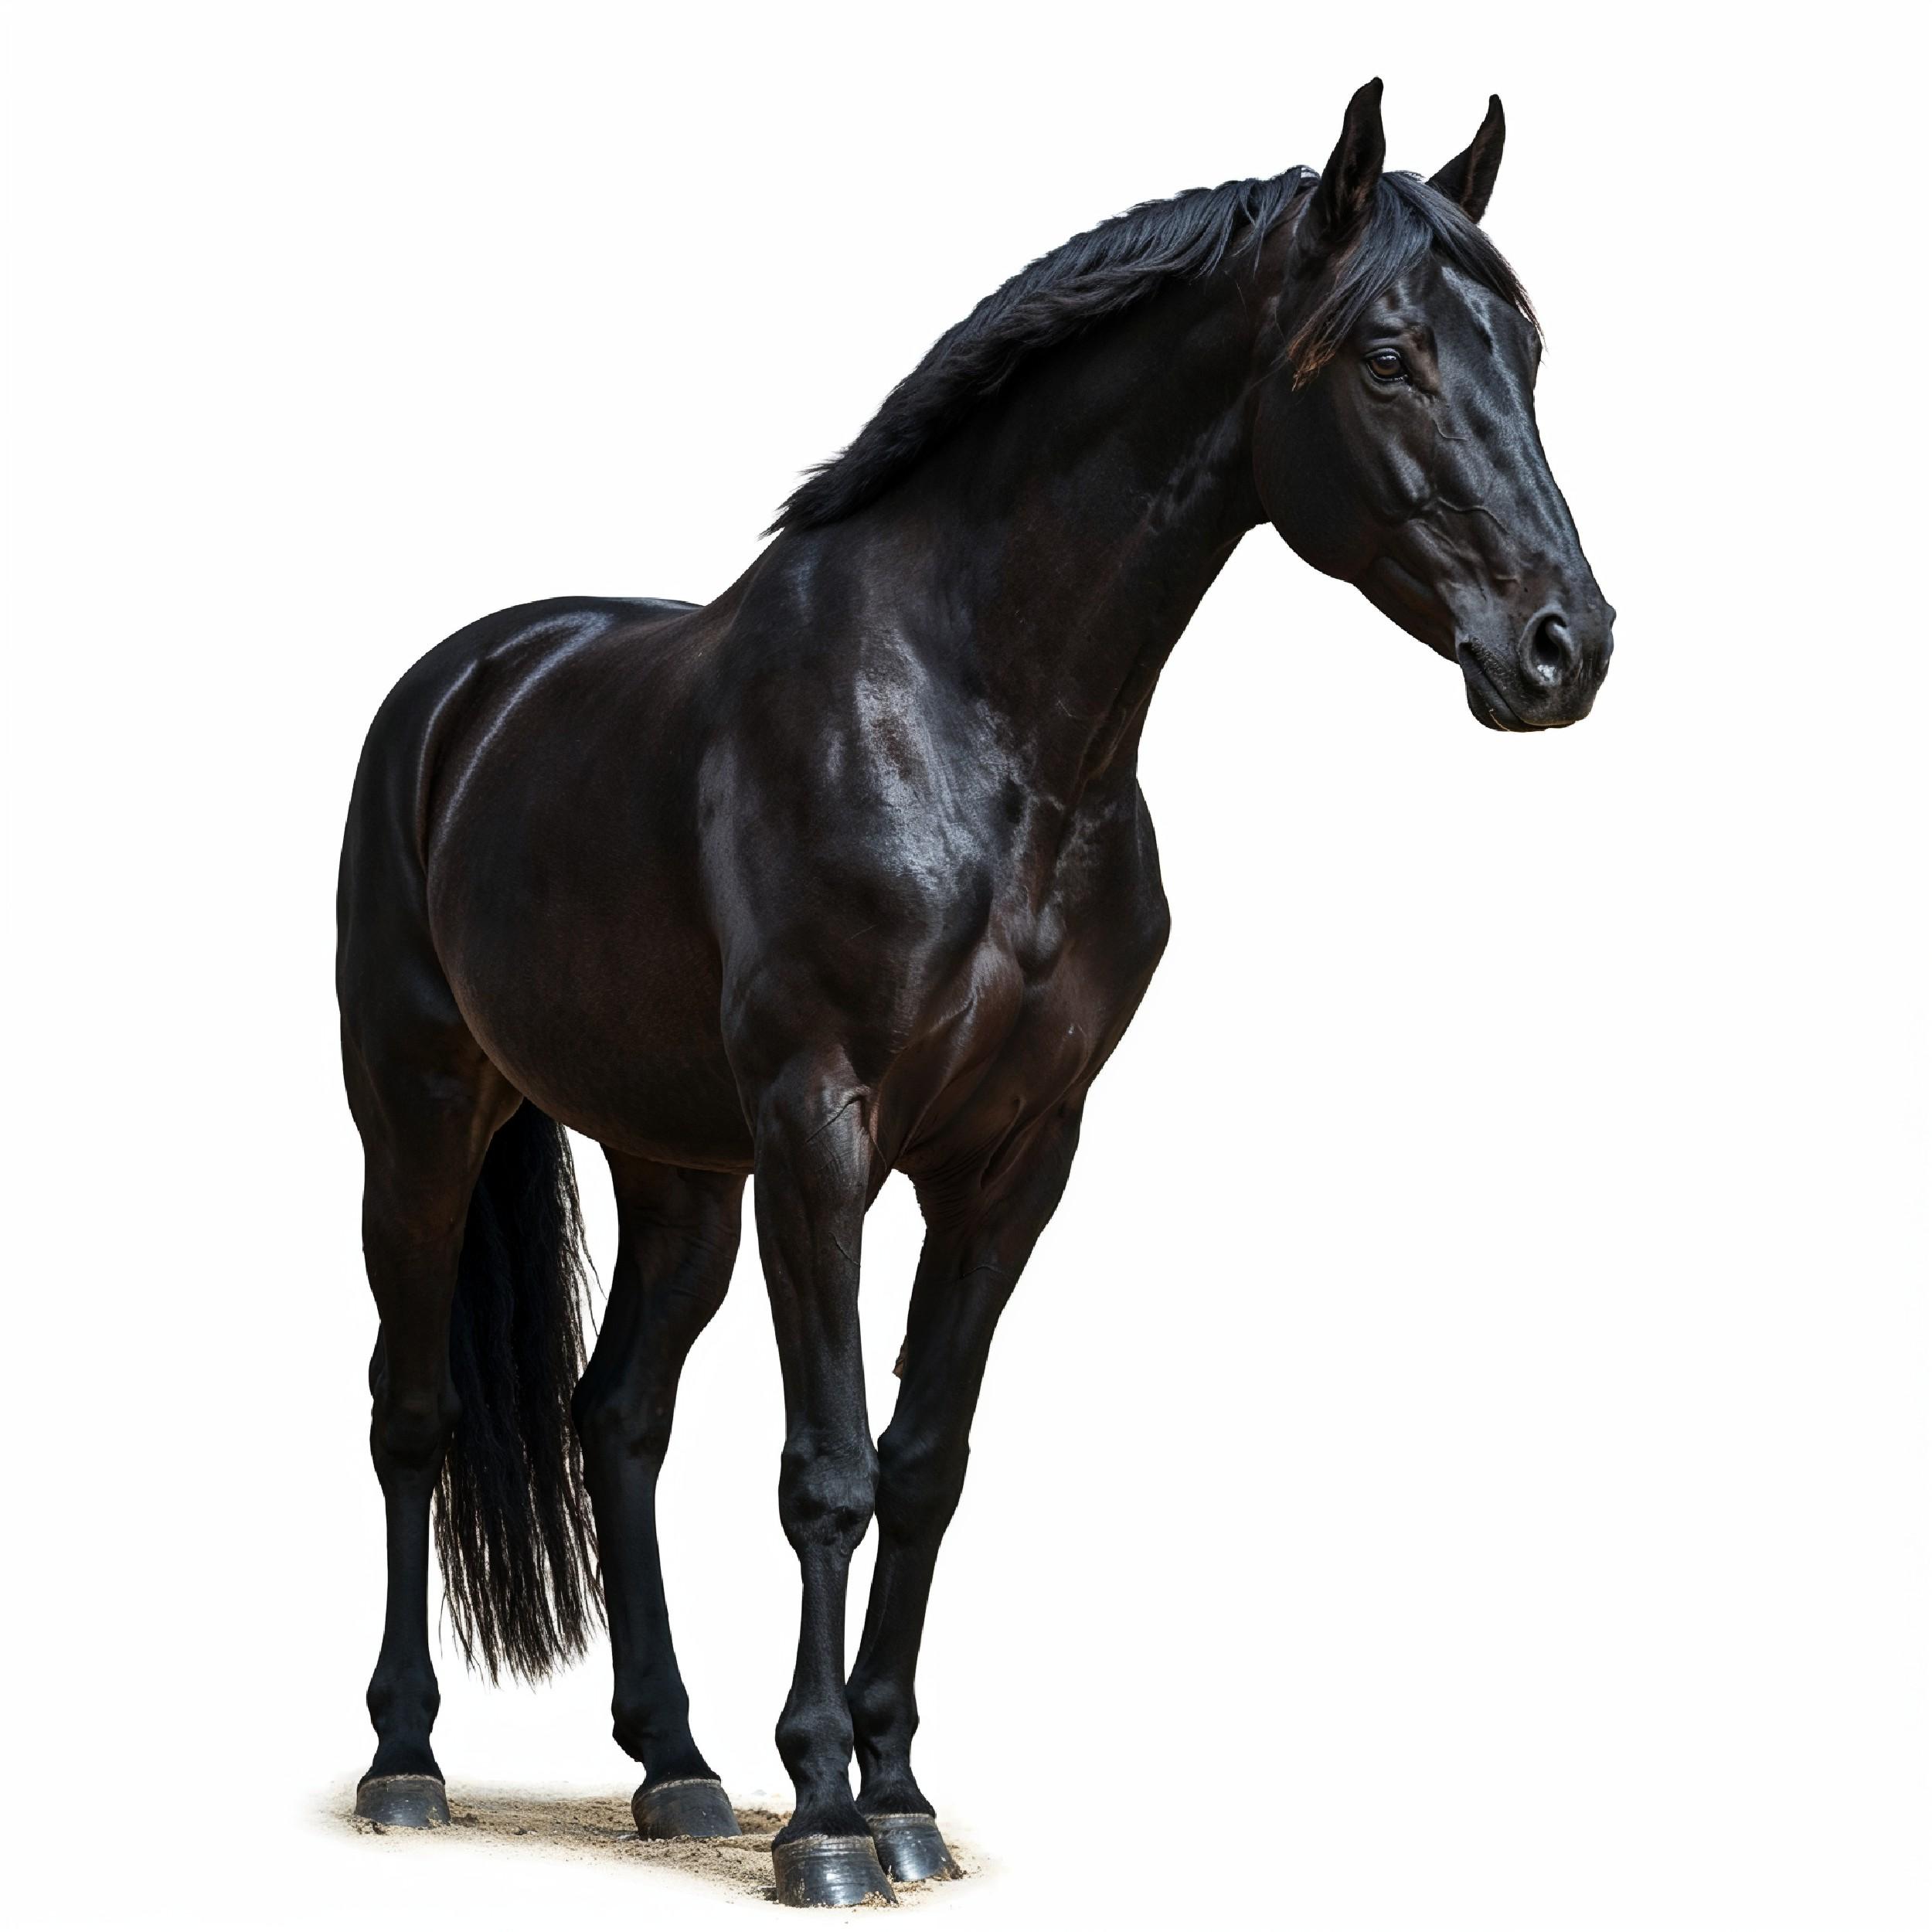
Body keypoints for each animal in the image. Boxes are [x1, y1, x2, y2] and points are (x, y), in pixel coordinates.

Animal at [336, 77, 1613, 1906]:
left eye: (1526, 345)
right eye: (1387, 353)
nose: (1562, 646)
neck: (971, 714)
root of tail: (466, 685)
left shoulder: (1015, 1152)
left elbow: (925, 1466)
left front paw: (897, 1791)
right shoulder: (821, 1131)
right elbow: (826, 1469)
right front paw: (821, 1820)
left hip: (676, 1169)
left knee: (617, 1416)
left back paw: (676, 1766)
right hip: (424, 1117)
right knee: (415, 1413)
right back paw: (405, 1761)